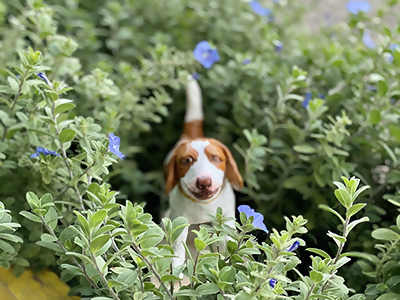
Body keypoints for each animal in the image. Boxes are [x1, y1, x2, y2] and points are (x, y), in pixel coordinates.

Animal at [163, 75, 244, 272]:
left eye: (215, 158)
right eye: (186, 160)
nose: (204, 182)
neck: (202, 205)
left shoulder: (225, 222)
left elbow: (227, 246)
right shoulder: (180, 222)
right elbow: (177, 252)